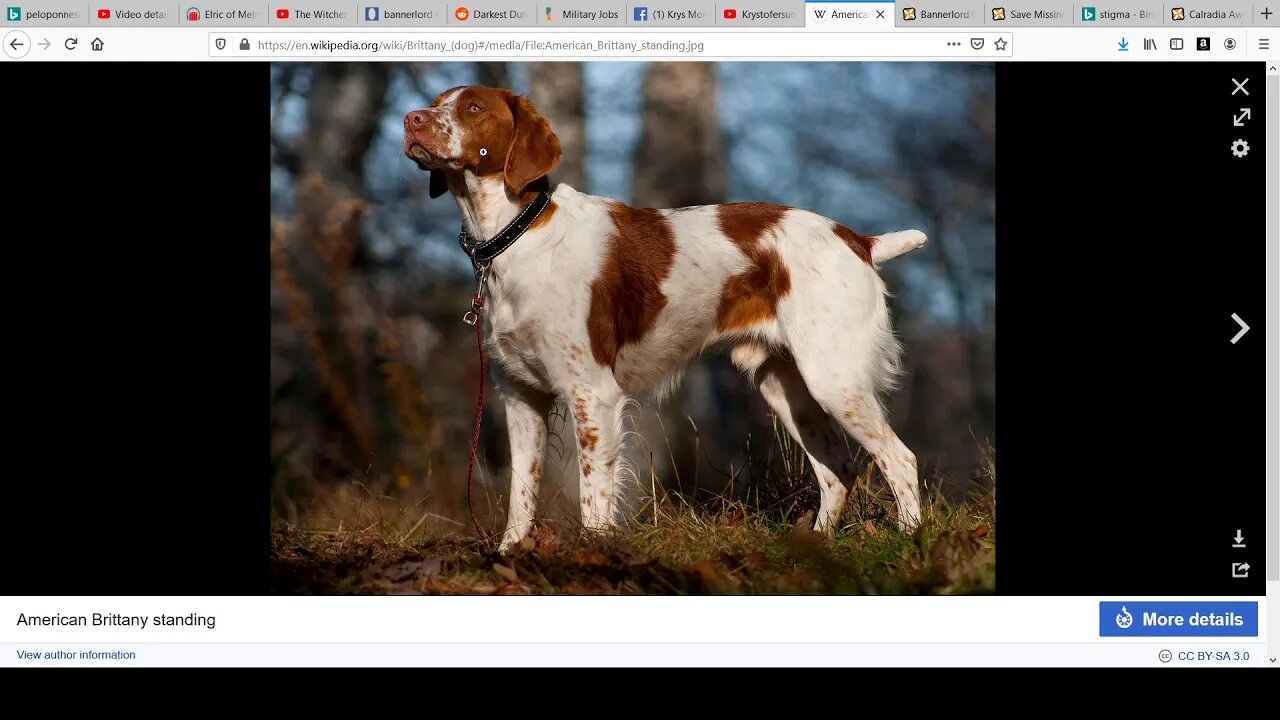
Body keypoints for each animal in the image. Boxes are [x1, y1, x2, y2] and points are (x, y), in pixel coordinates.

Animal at [404, 85, 926, 548]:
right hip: (786, 385)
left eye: (473, 107)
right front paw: (510, 553)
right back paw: (818, 545)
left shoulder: (592, 393)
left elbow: (594, 495)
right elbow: (522, 492)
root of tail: (859, 240)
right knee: (838, 467)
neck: (516, 236)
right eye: (436, 103)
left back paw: (910, 538)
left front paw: (594, 552)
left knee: (900, 458)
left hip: (834, 378)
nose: (411, 120)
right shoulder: (520, 394)